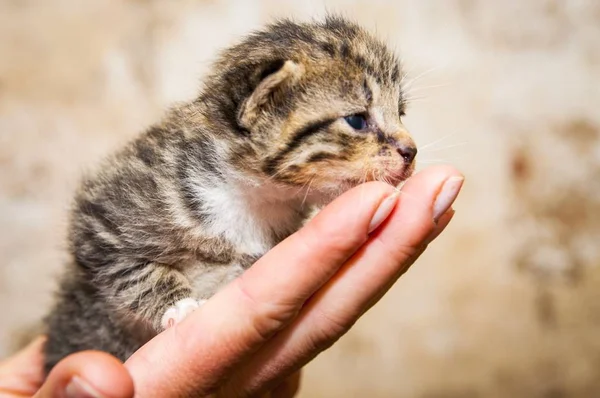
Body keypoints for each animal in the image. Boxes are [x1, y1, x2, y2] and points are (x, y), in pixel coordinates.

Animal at [43, 14, 418, 372]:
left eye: (400, 113)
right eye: (357, 120)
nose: (411, 152)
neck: (249, 196)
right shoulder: (101, 223)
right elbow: (135, 272)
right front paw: (180, 306)